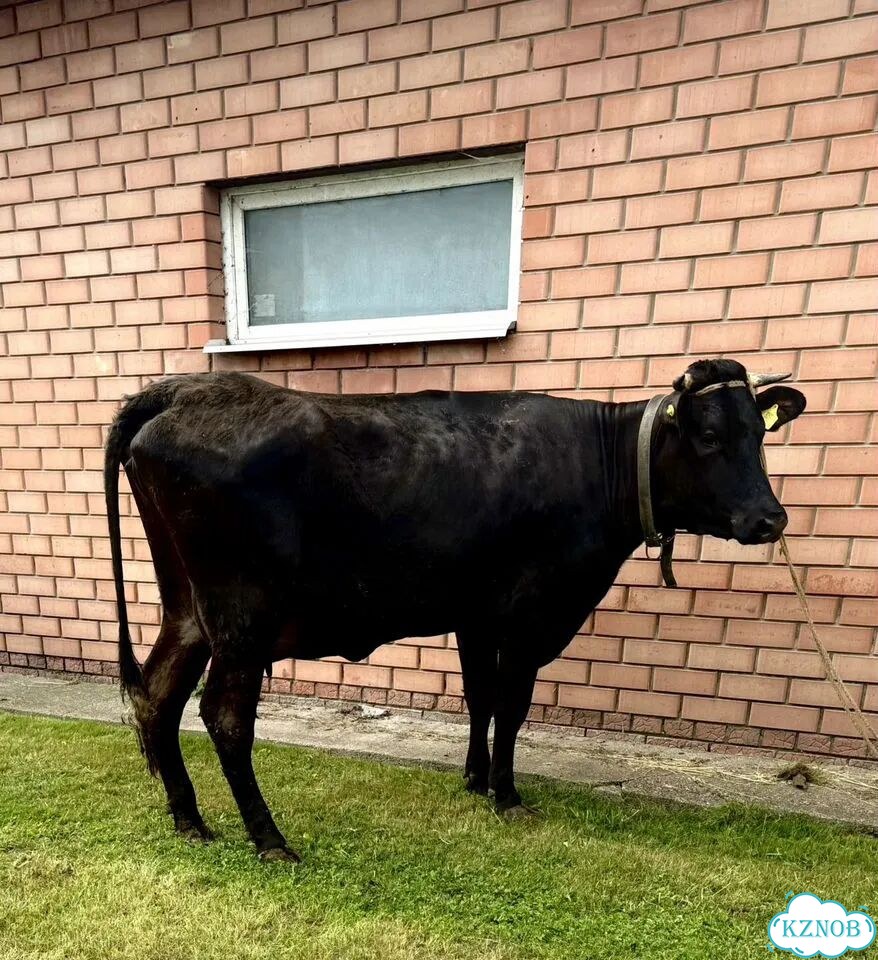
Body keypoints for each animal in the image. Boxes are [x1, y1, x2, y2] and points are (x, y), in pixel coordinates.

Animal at [104, 357, 806, 861]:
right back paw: (269, 840)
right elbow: (513, 707)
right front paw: (507, 794)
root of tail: (186, 390)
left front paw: (474, 779)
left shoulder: (476, 614)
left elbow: (480, 698)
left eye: (760, 437)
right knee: (224, 717)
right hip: (243, 619)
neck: (597, 463)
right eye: (710, 437)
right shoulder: (530, 614)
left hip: (189, 610)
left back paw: (190, 820)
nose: (770, 519)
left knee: (157, 696)